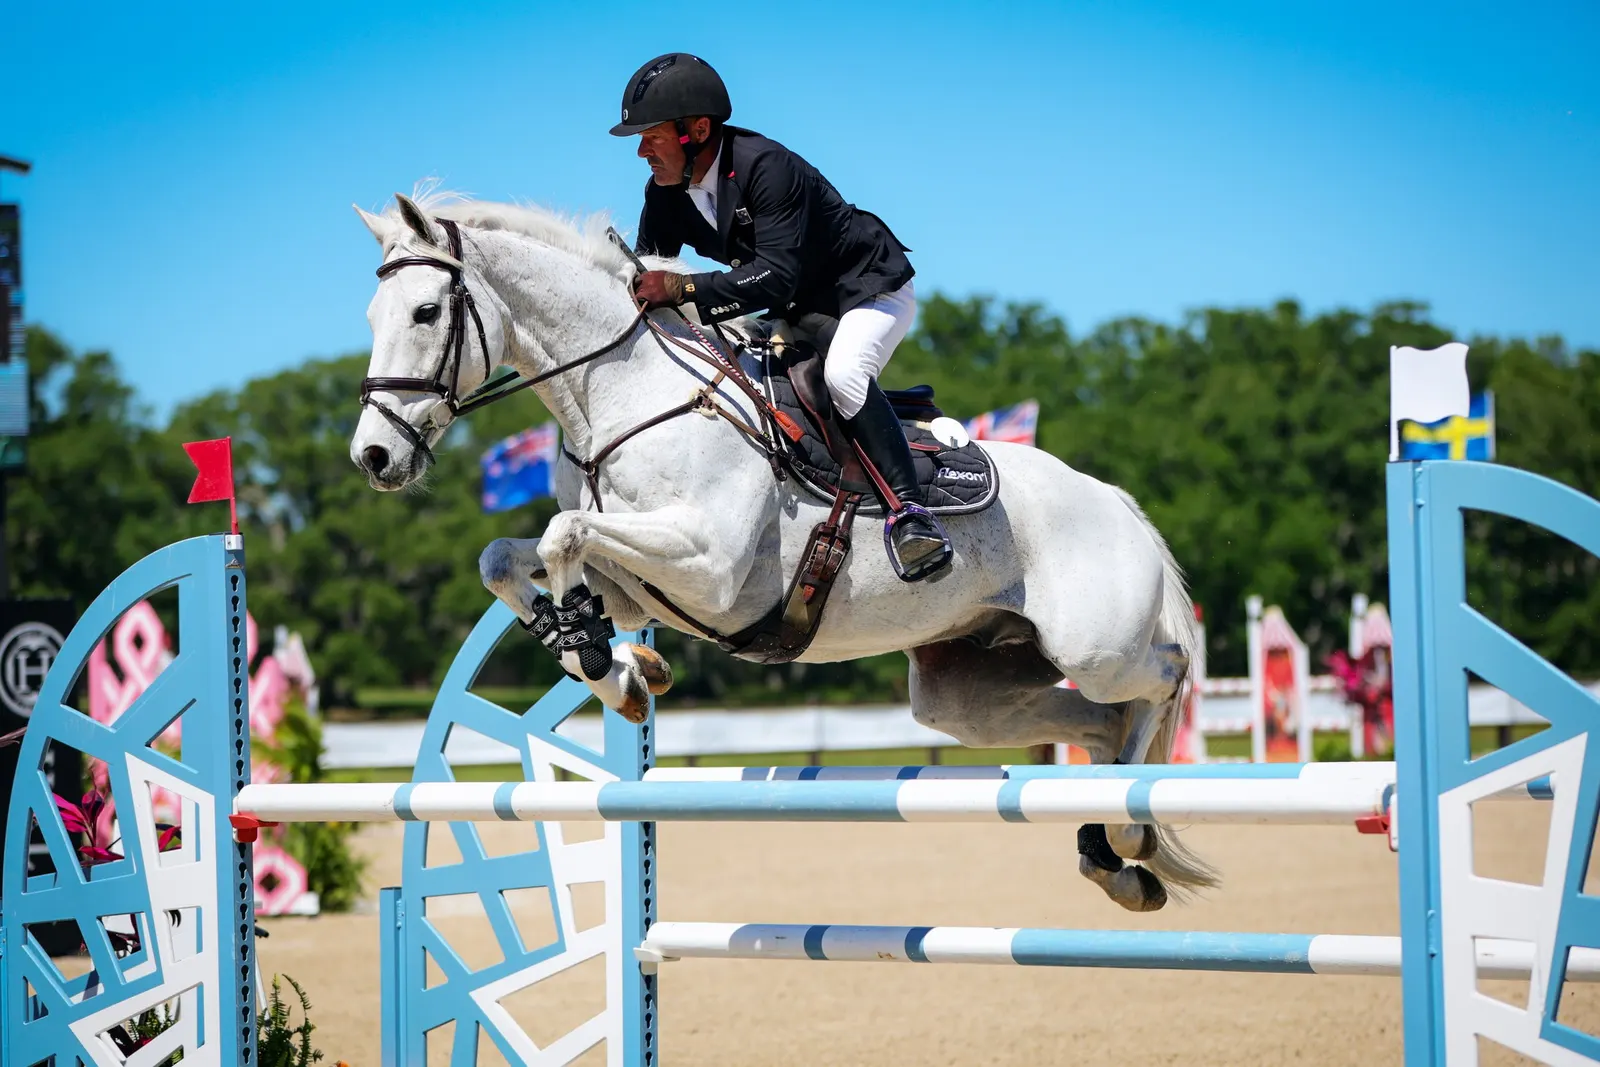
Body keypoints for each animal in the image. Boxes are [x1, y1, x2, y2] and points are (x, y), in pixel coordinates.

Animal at [348, 190, 1216, 911]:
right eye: (371, 317)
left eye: (425, 311)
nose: (374, 457)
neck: (627, 396)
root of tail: (1118, 502)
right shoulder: (643, 580)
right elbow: (508, 556)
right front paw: (614, 664)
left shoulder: (708, 567)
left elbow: (563, 534)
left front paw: (600, 654)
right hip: (968, 692)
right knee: (1098, 726)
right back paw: (1113, 853)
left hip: (1096, 646)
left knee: (1164, 675)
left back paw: (1132, 833)